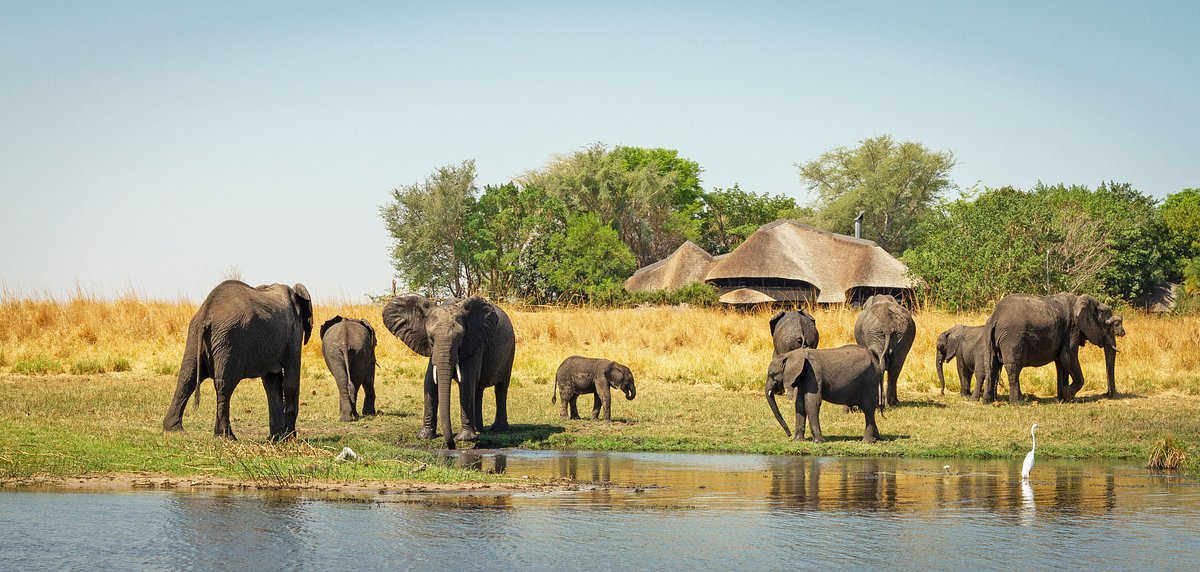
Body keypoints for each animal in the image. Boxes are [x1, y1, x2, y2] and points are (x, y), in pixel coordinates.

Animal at [163, 278, 314, 438]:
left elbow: (272, 384)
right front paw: (289, 438)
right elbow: (290, 382)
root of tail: (206, 312)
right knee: (225, 385)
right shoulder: (293, 333)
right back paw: (226, 437)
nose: (287, 435)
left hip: (195, 336)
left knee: (186, 378)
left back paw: (174, 429)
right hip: (229, 341)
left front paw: (277, 438)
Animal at [381, 293, 513, 450]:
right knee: (478, 390)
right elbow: (430, 383)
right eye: (431, 339)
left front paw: (465, 439)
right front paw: (424, 436)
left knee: (501, 388)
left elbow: (466, 383)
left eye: (461, 338)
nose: (452, 446)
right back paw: (479, 430)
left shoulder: (474, 343)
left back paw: (498, 429)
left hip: (510, 351)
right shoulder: (433, 352)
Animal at [984, 293, 1123, 400]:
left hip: (992, 338)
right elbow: (1067, 357)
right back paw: (1018, 402)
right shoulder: (1072, 329)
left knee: (992, 365)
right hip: (1012, 338)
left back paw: (989, 402)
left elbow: (1061, 362)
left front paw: (1064, 398)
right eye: (1109, 327)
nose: (1108, 395)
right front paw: (1067, 394)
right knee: (1014, 367)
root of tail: (995, 317)